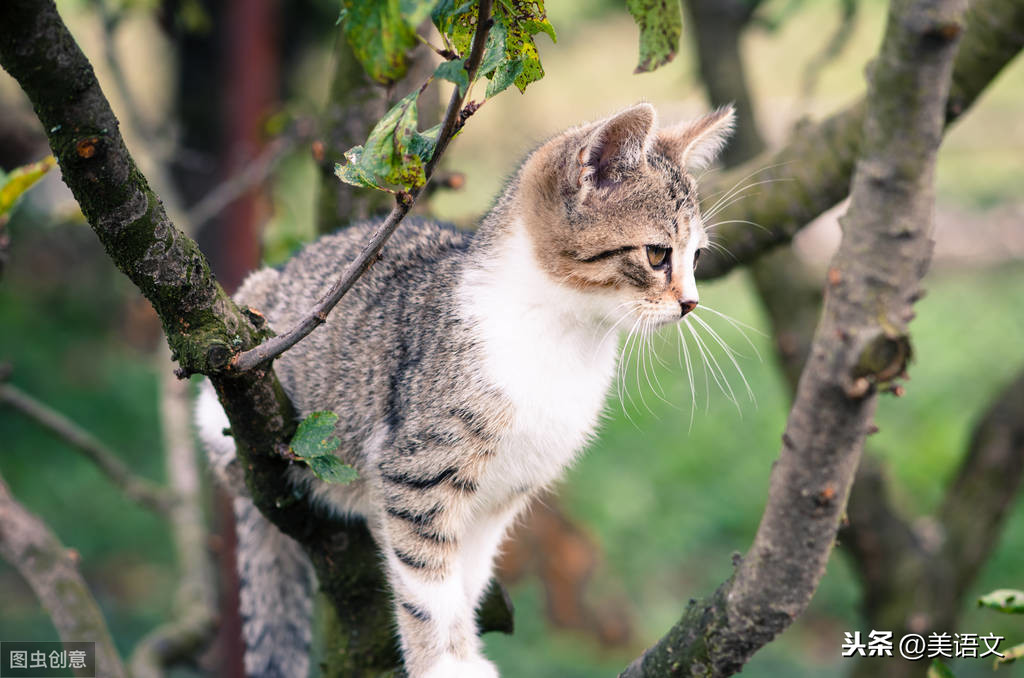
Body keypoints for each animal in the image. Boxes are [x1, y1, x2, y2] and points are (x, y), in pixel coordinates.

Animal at [193, 102, 737, 678]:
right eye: (658, 254)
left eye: (697, 259)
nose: (691, 304)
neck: (567, 339)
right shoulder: (415, 470)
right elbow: (428, 583)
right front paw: (443, 664)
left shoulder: (500, 497)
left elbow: (466, 578)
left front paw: (465, 649)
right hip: (246, 346)